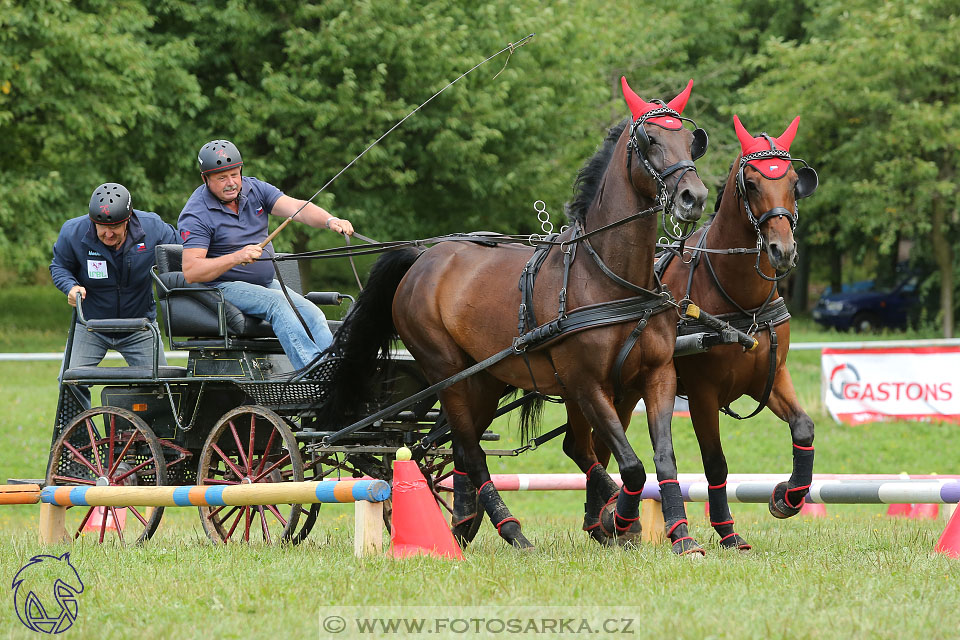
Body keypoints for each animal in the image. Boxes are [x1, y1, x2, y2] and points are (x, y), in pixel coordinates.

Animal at [326, 79, 708, 552]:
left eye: (690, 140)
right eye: (649, 141)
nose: (694, 197)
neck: (608, 276)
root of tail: (423, 257)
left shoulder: (656, 375)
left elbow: (661, 459)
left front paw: (680, 537)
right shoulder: (586, 384)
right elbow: (632, 466)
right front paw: (619, 520)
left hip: (485, 380)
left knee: (462, 447)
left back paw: (463, 525)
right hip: (446, 373)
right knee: (471, 451)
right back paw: (510, 529)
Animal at [576, 115, 816, 552]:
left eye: (793, 181)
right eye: (751, 183)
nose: (782, 251)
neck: (740, 300)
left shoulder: (771, 376)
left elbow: (803, 427)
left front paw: (786, 497)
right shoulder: (704, 394)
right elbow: (716, 463)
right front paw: (727, 530)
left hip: (628, 389)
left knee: (599, 446)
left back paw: (604, 520)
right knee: (597, 448)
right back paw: (604, 518)